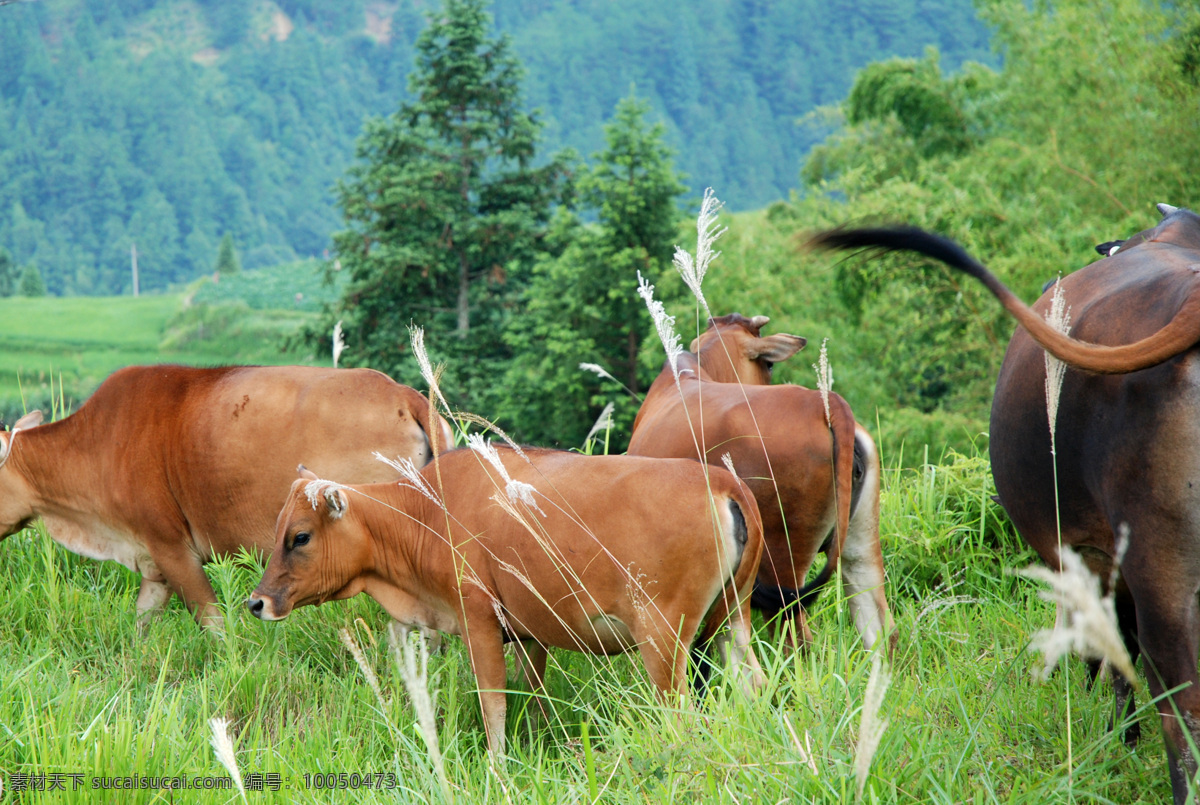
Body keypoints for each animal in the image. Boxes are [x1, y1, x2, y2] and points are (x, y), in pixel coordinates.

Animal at [248, 446, 763, 758]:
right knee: (753, 683)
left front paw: (497, 767)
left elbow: (493, 701)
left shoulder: (478, 619)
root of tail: (724, 481)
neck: (426, 511)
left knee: (681, 713)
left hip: (663, 640)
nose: (257, 602)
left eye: (300, 537)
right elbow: (531, 697)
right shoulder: (531, 634)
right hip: (732, 621)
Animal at [628, 311, 892, 652]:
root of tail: (826, 404)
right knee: (881, 626)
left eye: (769, 365)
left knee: (797, 640)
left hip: (781, 558)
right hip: (860, 544)